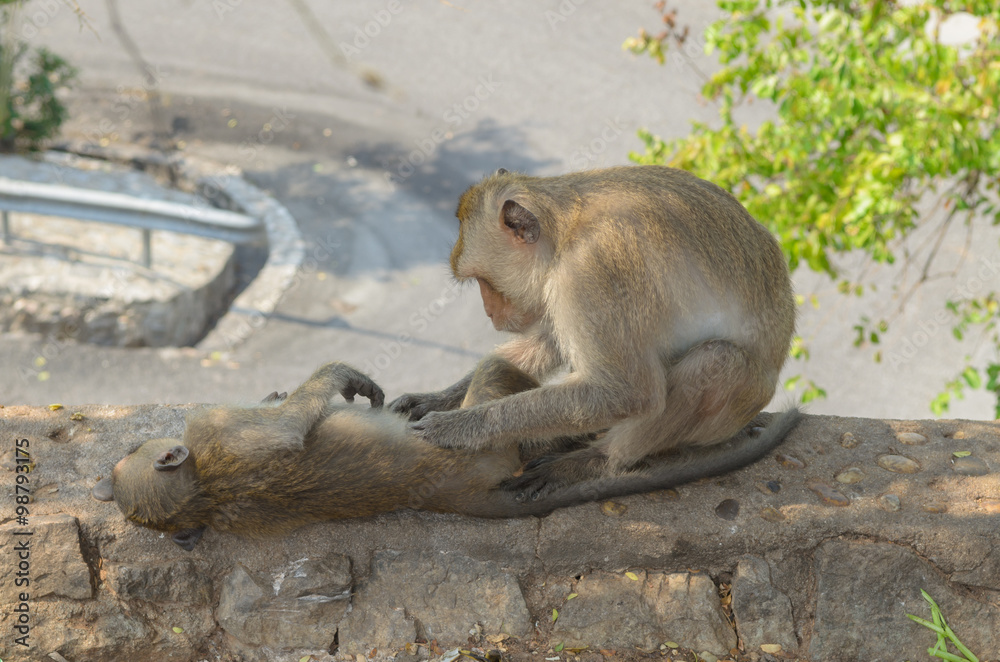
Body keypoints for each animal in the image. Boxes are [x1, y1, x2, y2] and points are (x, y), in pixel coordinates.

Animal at [92, 357, 799, 550]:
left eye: (126, 449)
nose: (123, 450)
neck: (203, 491)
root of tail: (450, 494)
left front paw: (277, 389)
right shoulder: (214, 428)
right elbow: (286, 432)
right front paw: (339, 378)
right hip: (490, 444)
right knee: (501, 387)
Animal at [389, 165, 799, 499]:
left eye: (482, 281)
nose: (489, 312)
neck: (563, 231)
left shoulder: (588, 271)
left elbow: (627, 391)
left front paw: (460, 426)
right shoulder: (565, 286)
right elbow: (552, 341)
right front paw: (439, 398)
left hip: (736, 408)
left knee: (715, 361)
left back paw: (598, 460)